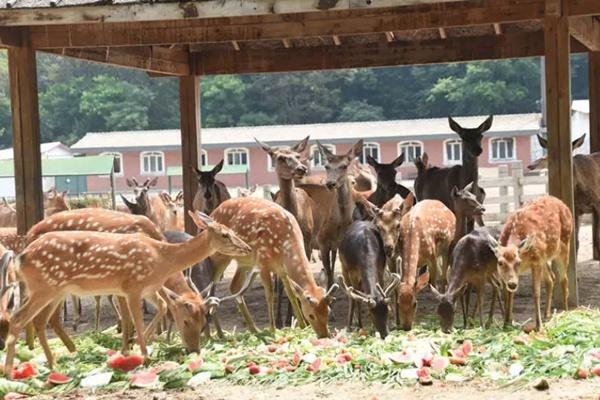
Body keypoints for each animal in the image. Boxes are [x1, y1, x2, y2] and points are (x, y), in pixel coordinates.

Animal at [2, 211, 251, 374]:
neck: (161, 258)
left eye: (204, 322)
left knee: (41, 320)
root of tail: (21, 256)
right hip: (44, 287)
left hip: (54, 290)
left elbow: (160, 308)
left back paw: (54, 363)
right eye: (225, 234)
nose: (194, 350)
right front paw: (142, 354)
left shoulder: (148, 288)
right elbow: (136, 320)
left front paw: (134, 347)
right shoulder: (132, 286)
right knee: (19, 317)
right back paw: (10, 369)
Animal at [209, 197, 338, 338]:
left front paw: (303, 326)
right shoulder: (262, 263)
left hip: (244, 262)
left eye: (329, 312)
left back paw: (254, 329)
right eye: (311, 315)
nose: (325, 335)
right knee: (211, 287)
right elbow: (270, 295)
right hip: (219, 256)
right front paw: (273, 329)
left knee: (234, 286)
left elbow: (291, 293)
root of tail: (213, 212)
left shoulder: (282, 270)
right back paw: (218, 333)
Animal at [398, 198, 454, 330]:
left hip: (447, 246)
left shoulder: (432, 255)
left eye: (415, 303)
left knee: (443, 274)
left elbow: (431, 283)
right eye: (398, 304)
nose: (406, 327)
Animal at [488, 196, 572, 332]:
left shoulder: (536, 261)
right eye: (500, 262)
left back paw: (565, 312)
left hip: (564, 245)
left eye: (518, 262)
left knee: (563, 279)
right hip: (545, 257)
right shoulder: (537, 261)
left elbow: (536, 292)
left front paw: (538, 326)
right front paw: (506, 323)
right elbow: (508, 293)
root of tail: (563, 203)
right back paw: (547, 314)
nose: (512, 283)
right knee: (551, 279)